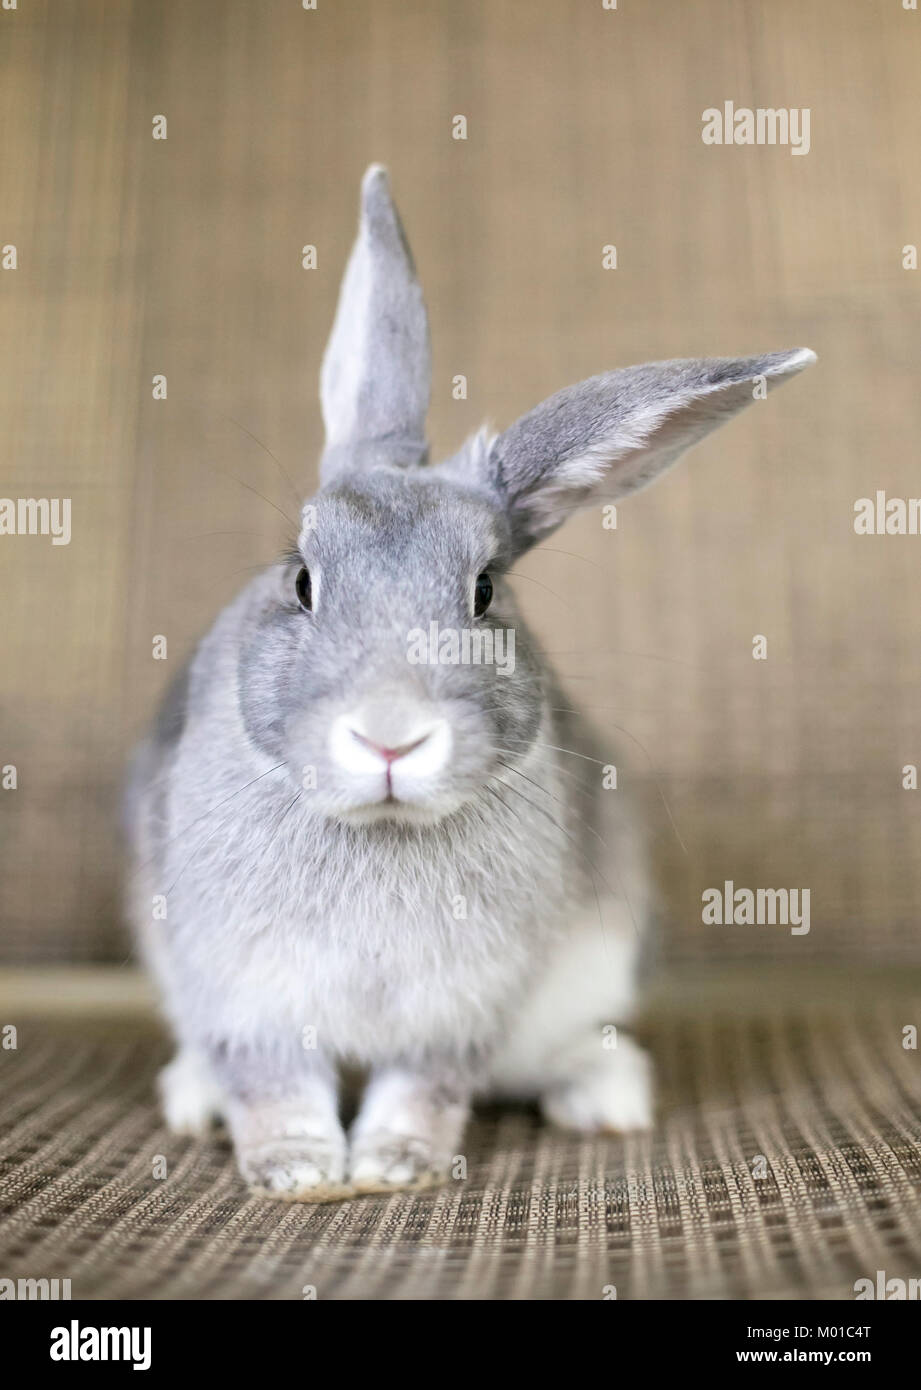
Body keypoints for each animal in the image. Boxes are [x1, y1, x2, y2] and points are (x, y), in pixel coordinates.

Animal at [125, 164, 815, 1202]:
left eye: (485, 591)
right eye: (301, 580)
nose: (389, 735)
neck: (381, 829)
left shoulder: (456, 1011)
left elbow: (423, 1088)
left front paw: (393, 1166)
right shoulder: (247, 993)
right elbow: (274, 1084)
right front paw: (298, 1172)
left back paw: (605, 1100)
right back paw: (195, 1100)